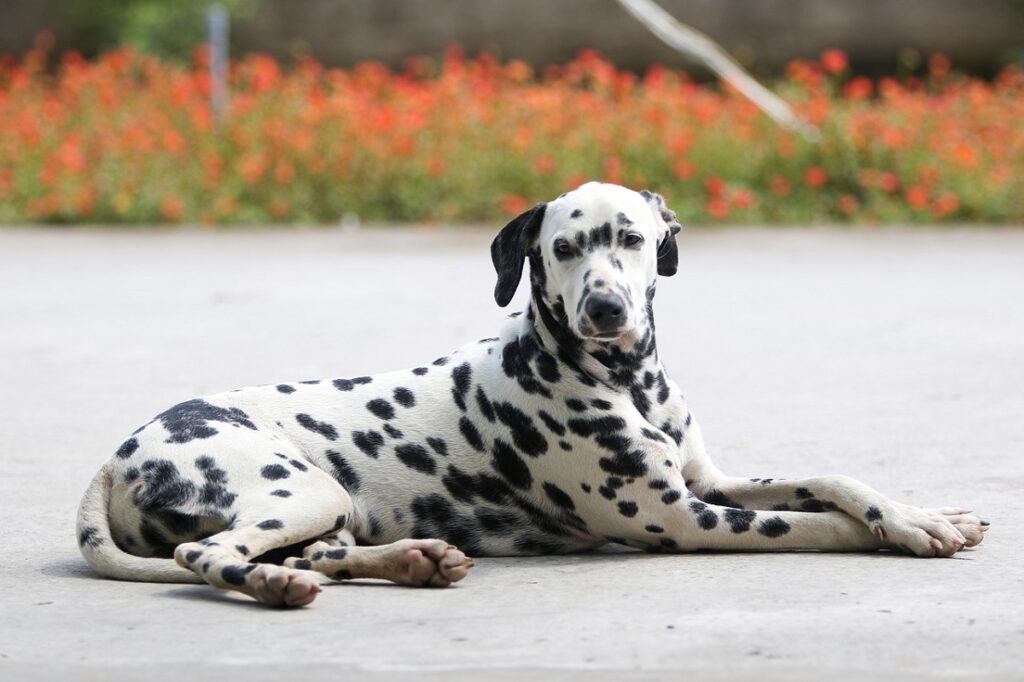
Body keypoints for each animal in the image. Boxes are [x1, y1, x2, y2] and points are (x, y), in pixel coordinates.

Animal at [75, 180, 987, 606]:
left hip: (327, 507)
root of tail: (121, 453)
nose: (606, 308)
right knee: (212, 557)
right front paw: (899, 534)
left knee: (317, 553)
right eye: (564, 249)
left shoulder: (711, 483)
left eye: (630, 238)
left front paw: (922, 513)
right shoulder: (686, 518)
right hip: (298, 489)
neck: (624, 380)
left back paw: (410, 560)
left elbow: (836, 481)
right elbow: (814, 525)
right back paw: (275, 586)